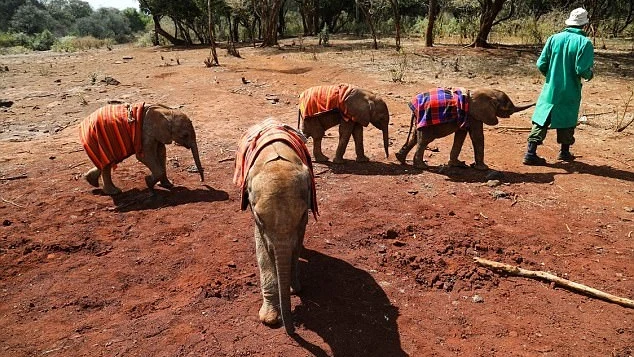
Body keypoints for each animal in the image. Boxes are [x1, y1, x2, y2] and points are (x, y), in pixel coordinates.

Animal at [233, 119, 316, 334]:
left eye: (303, 215)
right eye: (260, 219)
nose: (293, 330)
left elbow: (296, 244)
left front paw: (295, 288)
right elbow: (262, 251)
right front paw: (269, 319)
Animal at [396, 87, 532, 169]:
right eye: (508, 108)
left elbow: (460, 136)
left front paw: (457, 164)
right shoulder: (475, 115)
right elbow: (477, 137)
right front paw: (483, 168)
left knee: (415, 137)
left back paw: (400, 158)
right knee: (424, 140)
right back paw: (421, 166)